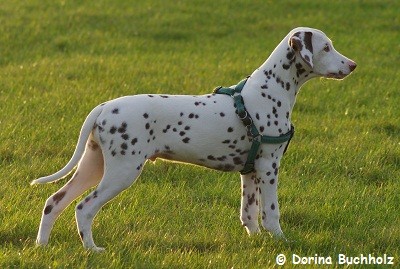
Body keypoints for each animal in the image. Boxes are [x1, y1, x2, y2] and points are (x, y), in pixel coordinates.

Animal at [31, 26, 356, 250]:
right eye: (326, 47)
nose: (352, 65)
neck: (269, 91)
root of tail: (104, 107)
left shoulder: (250, 173)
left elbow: (249, 214)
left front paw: (255, 241)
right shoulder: (268, 168)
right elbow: (271, 213)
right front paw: (281, 241)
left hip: (93, 166)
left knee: (54, 202)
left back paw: (42, 246)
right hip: (120, 173)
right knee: (83, 208)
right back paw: (92, 249)